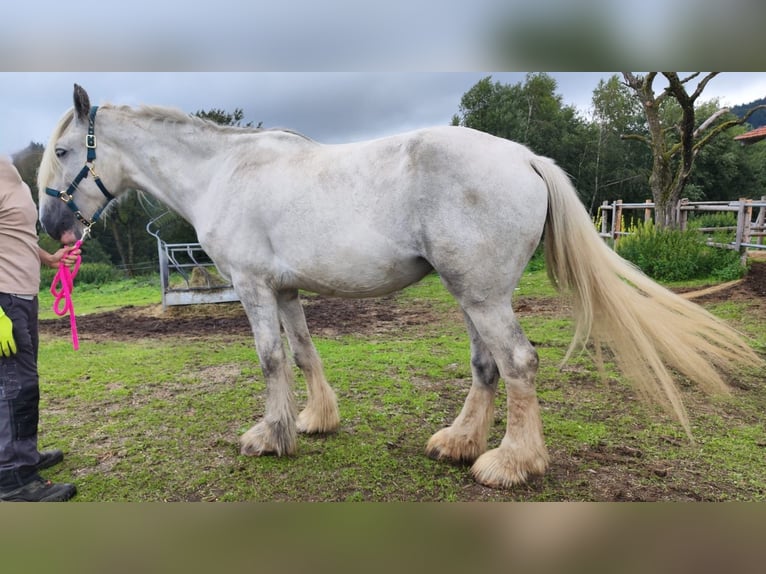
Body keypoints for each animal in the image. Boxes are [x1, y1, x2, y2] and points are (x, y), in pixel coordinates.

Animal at [38, 84, 762, 489]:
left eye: (66, 152)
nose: (50, 226)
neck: (224, 171)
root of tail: (526, 157)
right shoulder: (287, 291)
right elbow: (304, 353)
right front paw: (316, 421)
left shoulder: (253, 288)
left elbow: (270, 359)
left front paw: (271, 436)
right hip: (471, 294)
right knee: (486, 367)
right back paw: (458, 443)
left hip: (483, 297)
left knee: (518, 363)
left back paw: (508, 463)